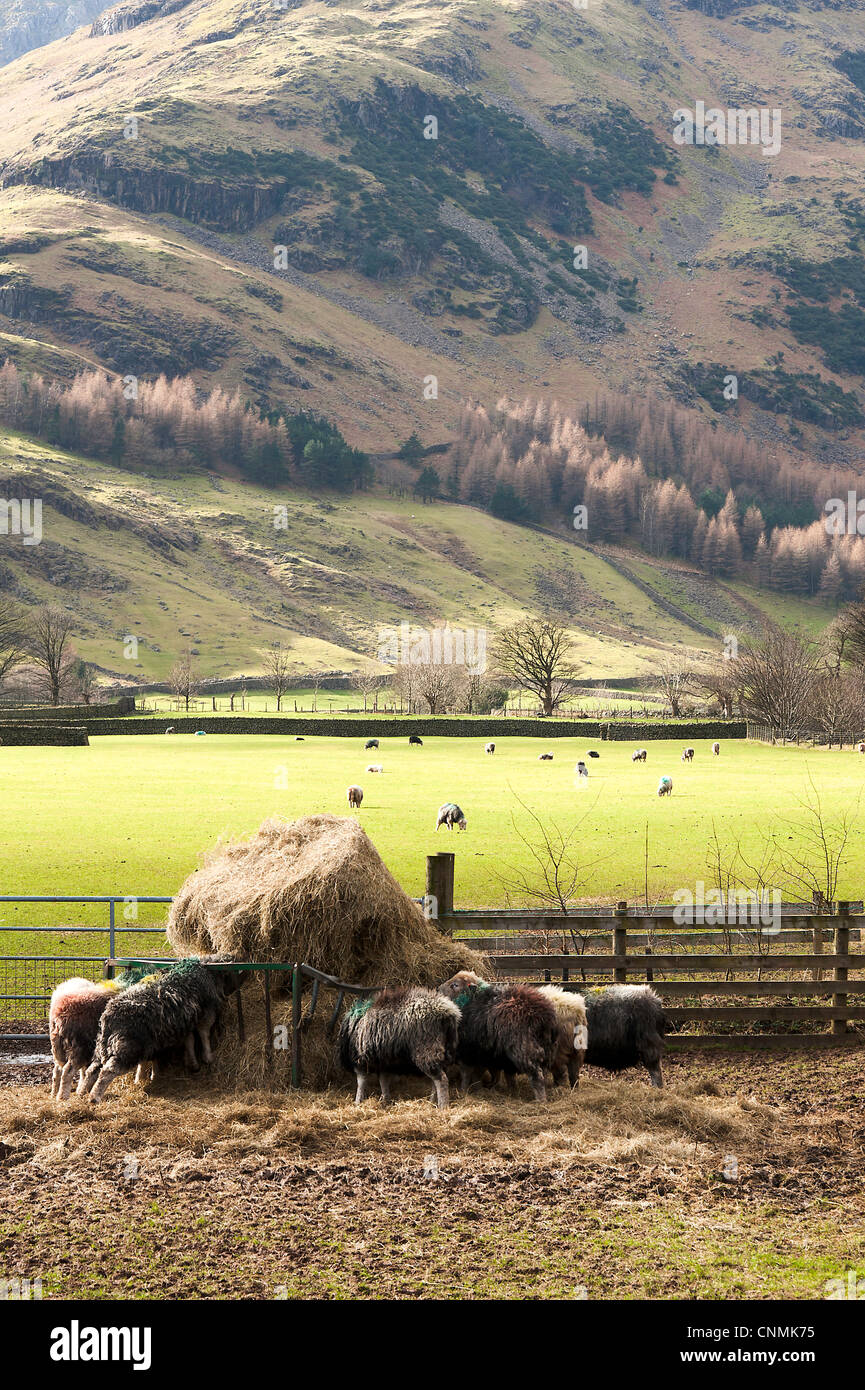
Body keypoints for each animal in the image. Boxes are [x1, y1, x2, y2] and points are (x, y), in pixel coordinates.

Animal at [82, 961, 244, 1100]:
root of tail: (109, 1016)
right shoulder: (206, 1013)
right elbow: (204, 1033)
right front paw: (208, 1057)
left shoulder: (183, 1024)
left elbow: (189, 1040)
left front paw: (191, 1063)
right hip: (127, 1047)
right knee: (108, 1070)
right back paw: (94, 1097)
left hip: (102, 1045)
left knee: (92, 1069)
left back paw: (83, 1090)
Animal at [337, 984, 461, 1112]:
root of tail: (449, 1013)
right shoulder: (384, 1060)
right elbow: (383, 1080)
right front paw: (386, 1100)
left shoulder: (361, 1059)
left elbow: (362, 1081)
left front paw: (358, 1101)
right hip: (445, 1051)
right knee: (436, 1080)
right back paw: (432, 1102)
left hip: (427, 1052)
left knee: (441, 1080)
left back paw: (443, 1106)